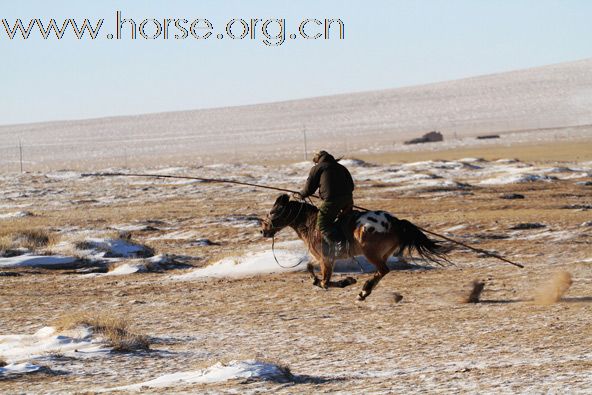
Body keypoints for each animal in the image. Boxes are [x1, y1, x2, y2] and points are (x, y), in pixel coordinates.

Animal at [262, 194, 450, 300]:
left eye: (272, 212)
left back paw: (365, 291)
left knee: (383, 270)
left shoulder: (326, 259)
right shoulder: (323, 258)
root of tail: (395, 222)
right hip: (381, 253)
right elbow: (310, 269)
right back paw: (364, 291)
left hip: (370, 252)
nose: (263, 230)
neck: (311, 224)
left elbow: (325, 282)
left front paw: (347, 281)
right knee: (382, 271)